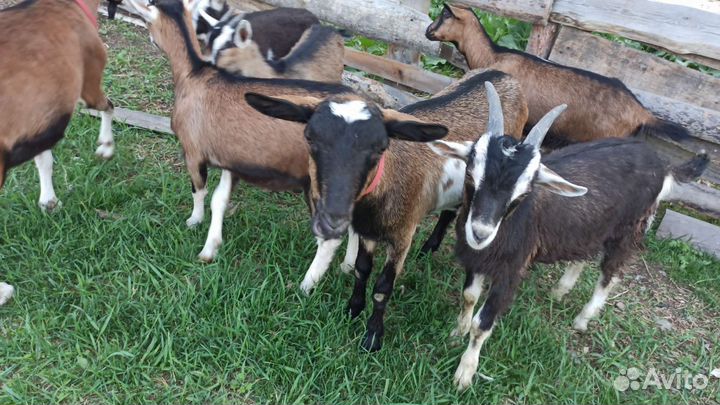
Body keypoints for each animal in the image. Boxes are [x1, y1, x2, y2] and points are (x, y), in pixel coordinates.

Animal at [246, 68, 528, 351]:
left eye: (381, 147)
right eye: (309, 137)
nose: (332, 219)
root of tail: (502, 73)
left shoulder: (402, 236)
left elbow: (383, 287)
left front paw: (372, 338)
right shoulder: (367, 231)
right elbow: (361, 269)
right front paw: (352, 310)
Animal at [430, 81, 709, 391]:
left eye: (523, 192)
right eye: (470, 174)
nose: (480, 232)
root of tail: (663, 166)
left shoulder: (511, 268)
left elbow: (483, 324)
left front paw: (464, 374)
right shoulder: (478, 258)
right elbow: (468, 296)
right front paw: (457, 332)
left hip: (628, 229)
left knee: (611, 273)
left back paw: (583, 318)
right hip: (595, 225)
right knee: (584, 255)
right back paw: (560, 290)